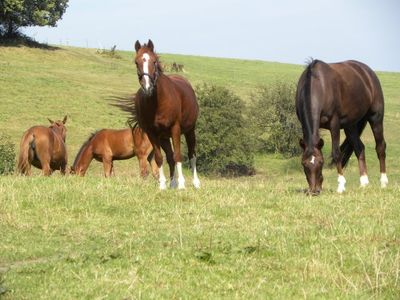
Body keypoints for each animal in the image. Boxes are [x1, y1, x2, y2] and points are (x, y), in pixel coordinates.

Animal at [130, 39, 200, 190]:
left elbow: (178, 155)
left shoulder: (175, 129)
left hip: (189, 131)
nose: (147, 87)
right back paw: (172, 183)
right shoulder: (152, 133)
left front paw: (182, 184)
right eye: (136, 62)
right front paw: (162, 185)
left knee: (192, 154)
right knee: (169, 156)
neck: (157, 103)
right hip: (164, 137)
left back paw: (196, 182)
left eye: (154, 61)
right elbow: (159, 158)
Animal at [296, 59, 388, 195]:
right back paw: (364, 182)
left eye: (321, 162)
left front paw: (341, 186)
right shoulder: (304, 125)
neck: (319, 86)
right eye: (303, 163)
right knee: (359, 148)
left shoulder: (334, 123)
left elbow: (336, 153)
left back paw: (383, 182)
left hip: (375, 117)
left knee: (380, 147)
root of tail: (368, 72)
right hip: (351, 125)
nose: (314, 191)